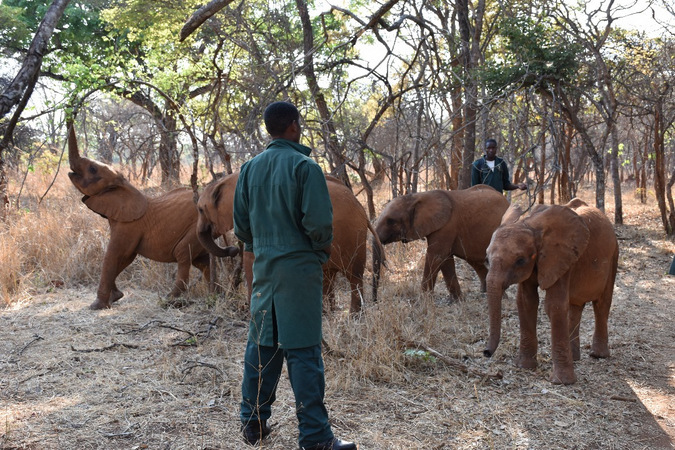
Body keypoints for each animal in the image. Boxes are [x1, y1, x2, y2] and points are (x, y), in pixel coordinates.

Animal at [66, 121, 239, 312]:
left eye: (92, 169)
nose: (70, 116)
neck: (124, 186)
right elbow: (124, 258)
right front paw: (116, 297)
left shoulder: (129, 226)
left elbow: (113, 256)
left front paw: (97, 306)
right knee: (202, 261)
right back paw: (214, 295)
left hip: (195, 229)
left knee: (183, 254)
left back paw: (169, 299)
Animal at [197, 172, 386, 312]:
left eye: (200, 209)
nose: (232, 249)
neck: (228, 178)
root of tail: (360, 207)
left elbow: (252, 259)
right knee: (329, 276)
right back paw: (329, 314)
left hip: (352, 233)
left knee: (353, 276)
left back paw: (353, 317)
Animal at [372, 185, 510, 300]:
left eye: (391, 221)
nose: (375, 301)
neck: (417, 197)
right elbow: (445, 260)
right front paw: (457, 301)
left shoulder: (447, 226)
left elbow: (435, 256)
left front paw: (424, 299)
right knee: (474, 261)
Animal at [484, 201, 620, 386]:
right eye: (486, 259)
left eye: (520, 260)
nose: (486, 352)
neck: (529, 224)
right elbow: (526, 302)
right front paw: (524, 366)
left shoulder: (561, 258)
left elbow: (554, 305)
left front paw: (562, 382)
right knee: (575, 307)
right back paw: (575, 358)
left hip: (614, 255)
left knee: (601, 305)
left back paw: (598, 356)